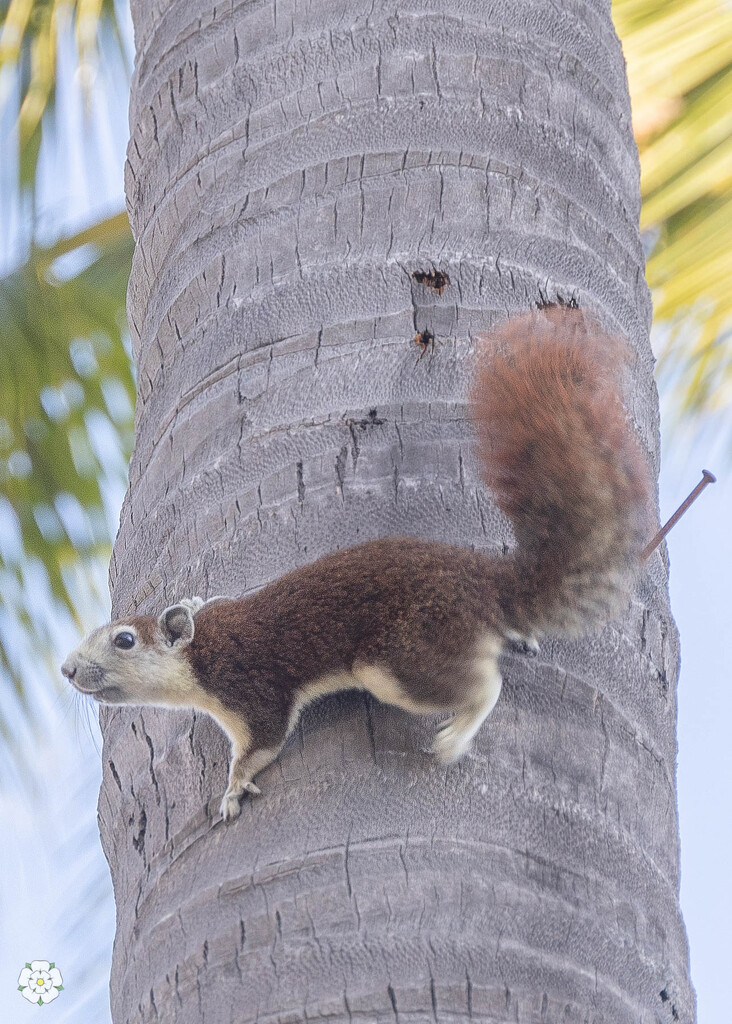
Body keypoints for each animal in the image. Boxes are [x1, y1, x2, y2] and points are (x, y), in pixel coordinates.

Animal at [60, 307, 651, 819]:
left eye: (124, 640)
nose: (66, 670)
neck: (202, 651)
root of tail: (483, 581)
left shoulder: (252, 689)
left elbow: (262, 744)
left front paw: (231, 790)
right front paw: (197, 595)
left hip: (396, 656)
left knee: (486, 686)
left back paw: (456, 735)